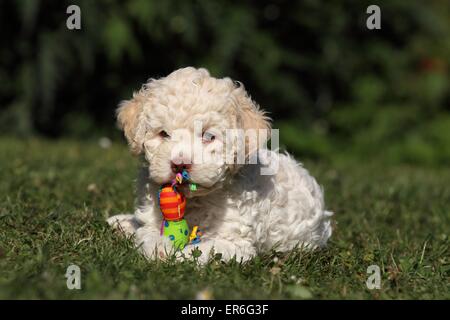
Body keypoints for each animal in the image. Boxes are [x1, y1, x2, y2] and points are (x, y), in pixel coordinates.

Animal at [107, 66, 332, 264]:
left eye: (209, 136)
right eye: (163, 134)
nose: (179, 164)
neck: (196, 200)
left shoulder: (235, 241)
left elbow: (203, 250)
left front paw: (178, 257)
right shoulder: (153, 216)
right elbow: (148, 233)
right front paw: (160, 247)